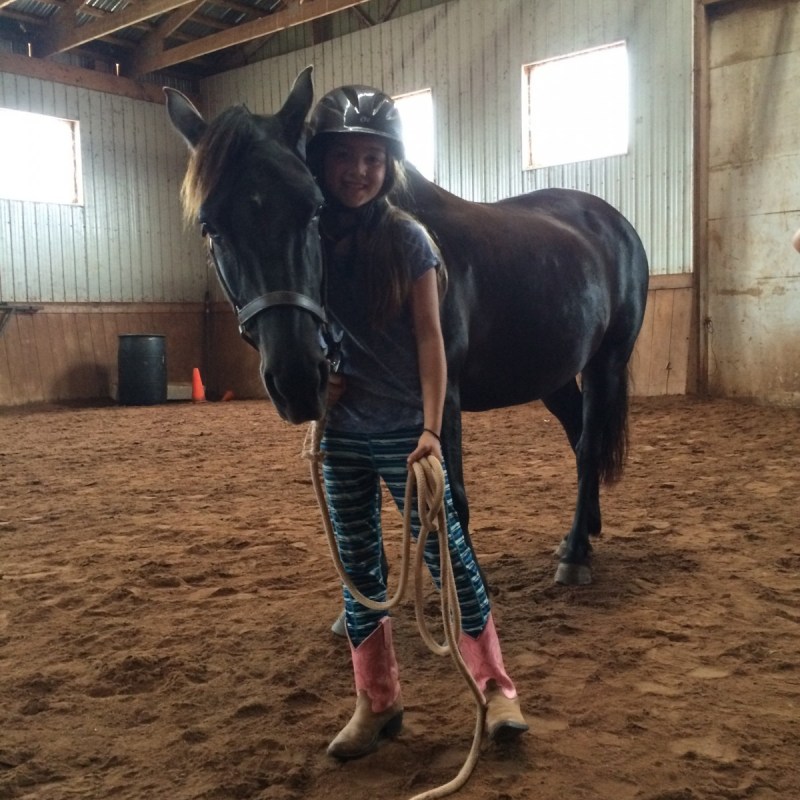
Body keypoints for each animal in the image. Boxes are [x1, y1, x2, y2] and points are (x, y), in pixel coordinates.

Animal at [164, 66, 649, 586]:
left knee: (587, 444)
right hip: (550, 374)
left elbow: (451, 503)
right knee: (579, 436)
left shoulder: (443, 396)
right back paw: (584, 533)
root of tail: (614, 223)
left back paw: (575, 553)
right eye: (210, 226)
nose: (296, 380)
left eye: (313, 209)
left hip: (606, 363)